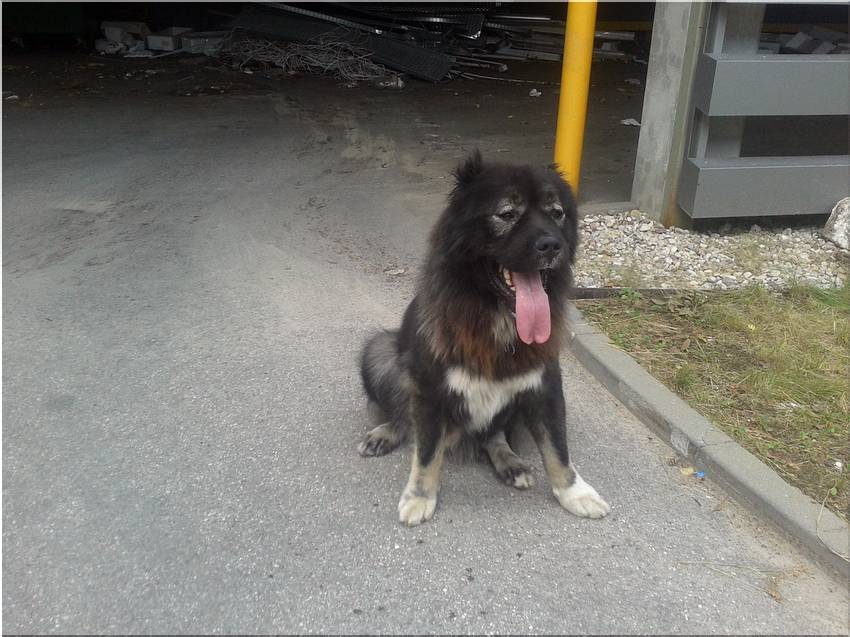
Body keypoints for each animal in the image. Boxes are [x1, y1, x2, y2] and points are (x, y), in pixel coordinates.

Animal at [358, 150, 610, 526]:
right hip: (380, 353)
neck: (498, 318)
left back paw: (510, 462)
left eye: (557, 213)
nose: (553, 245)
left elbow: (557, 446)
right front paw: (419, 496)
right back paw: (385, 433)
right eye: (506, 214)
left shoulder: (544, 385)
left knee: (494, 435)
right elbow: (427, 451)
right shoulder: (430, 388)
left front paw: (574, 491)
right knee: (407, 419)